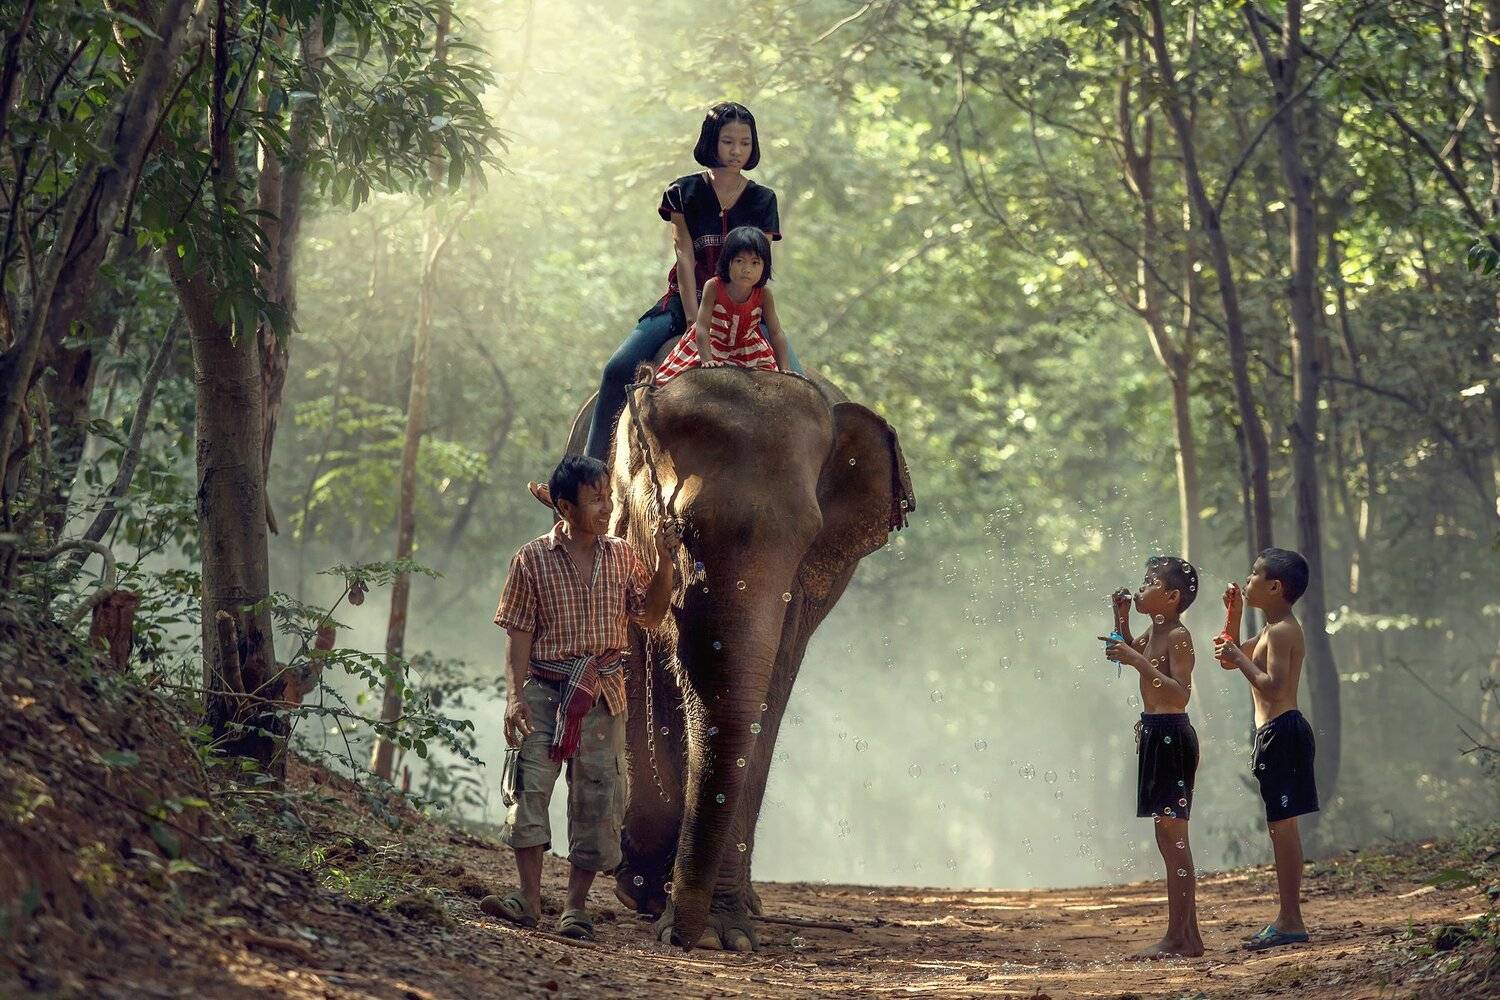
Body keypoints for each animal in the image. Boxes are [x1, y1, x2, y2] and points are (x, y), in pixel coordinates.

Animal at [561, 358, 914, 952]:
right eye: (680, 531)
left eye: (809, 539)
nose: (683, 938)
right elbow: (634, 673)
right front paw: (647, 893)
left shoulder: (805, 591)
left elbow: (764, 696)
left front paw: (724, 932)